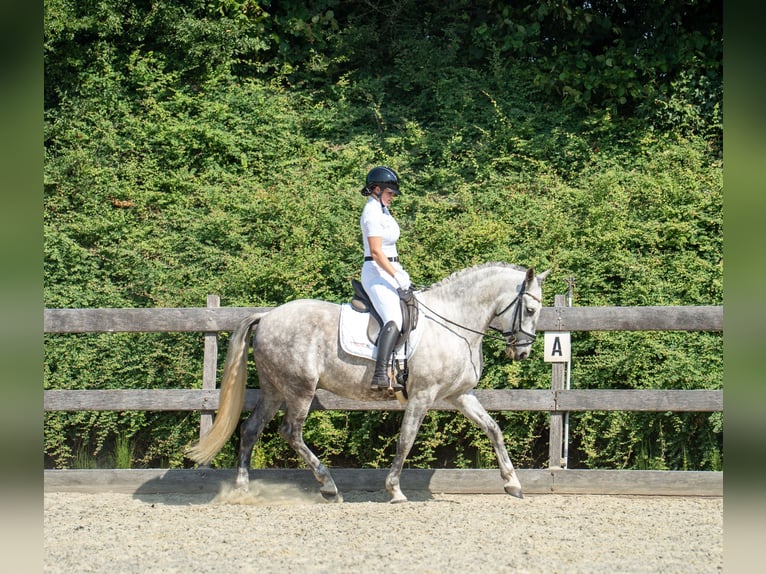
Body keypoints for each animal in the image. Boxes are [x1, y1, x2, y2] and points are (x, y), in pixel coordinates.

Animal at [186, 262, 549, 503]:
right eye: (531, 309)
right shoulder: (422, 396)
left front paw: (512, 483)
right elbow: (406, 440)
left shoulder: (459, 395)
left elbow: (493, 429)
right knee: (290, 432)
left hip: (275, 389)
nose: (523, 352)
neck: (454, 322)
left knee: (251, 429)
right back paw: (328, 486)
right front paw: (395, 489)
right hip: (300, 389)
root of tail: (267, 316)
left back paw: (243, 488)